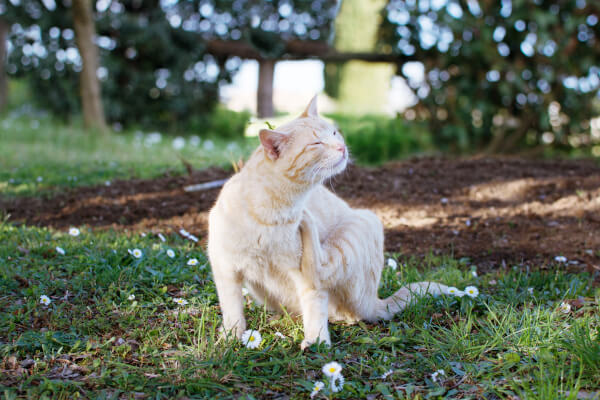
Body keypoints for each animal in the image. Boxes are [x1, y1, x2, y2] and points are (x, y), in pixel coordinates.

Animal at [206, 96, 446, 346]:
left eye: (334, 133)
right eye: (316, 144)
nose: (342, 147)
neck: (275, 212)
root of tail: (375, 301)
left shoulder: (303, 278)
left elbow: (314, 302)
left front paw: (317, 342)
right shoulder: (225, 268)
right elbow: (232, 309)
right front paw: (230, 337)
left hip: (364, 221)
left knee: (323, 274)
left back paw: (307, 222)